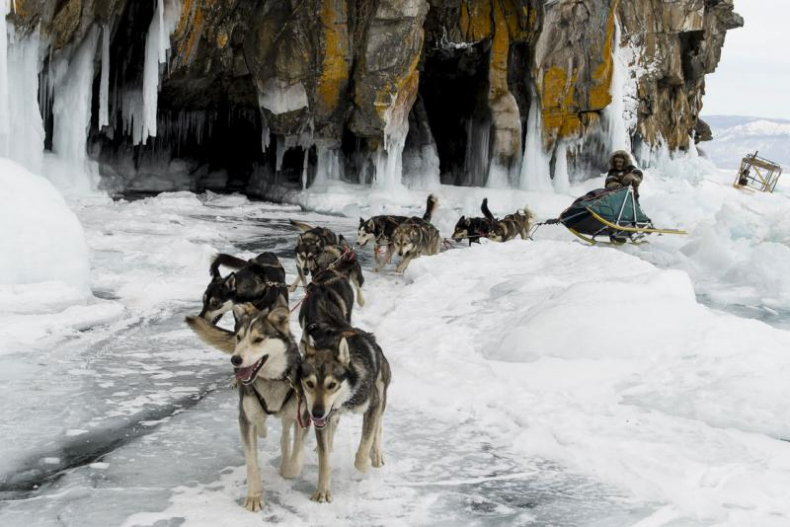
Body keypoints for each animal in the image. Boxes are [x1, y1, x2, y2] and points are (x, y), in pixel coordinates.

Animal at [186, 300, 310, 512]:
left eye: (258, 339)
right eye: (239, 337)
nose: (235, 359)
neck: (271, 380)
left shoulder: (303, 416)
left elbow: (296, 460)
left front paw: (288, 468)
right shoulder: (246, 419)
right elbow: (252, 462)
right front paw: (254, 496)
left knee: (286, 433)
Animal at [300, 322, 392, 504]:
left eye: (331, 385)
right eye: (309, 384)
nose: (317, 413)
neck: (347, 397)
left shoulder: (373, 405)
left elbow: (364, 447)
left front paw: (364, 464)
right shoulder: (323, 421)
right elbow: (324, 460)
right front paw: (322, 491)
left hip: (381, 393)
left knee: (378, 426)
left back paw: (376, 454)